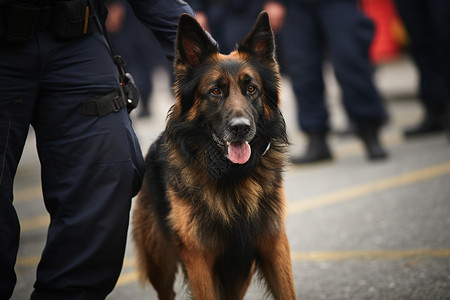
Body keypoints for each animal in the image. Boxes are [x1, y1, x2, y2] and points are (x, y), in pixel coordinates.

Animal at [133, 11, 296, 300]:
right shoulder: (199, 259)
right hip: (160, 264)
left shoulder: (273, 243)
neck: (232, 176)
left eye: (251, 89)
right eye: (215, 91)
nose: (241, 128)